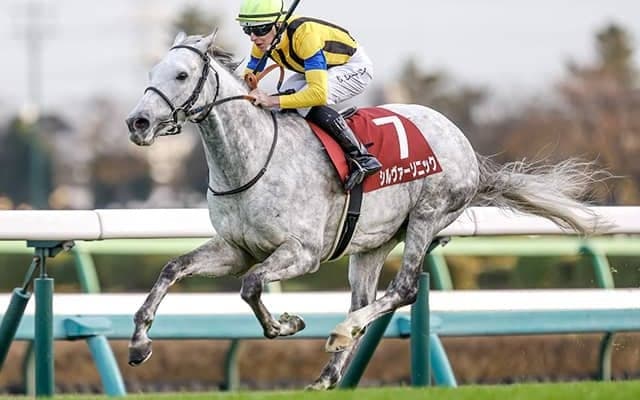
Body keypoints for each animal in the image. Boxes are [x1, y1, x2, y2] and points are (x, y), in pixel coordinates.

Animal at [125, 31, 605, 389]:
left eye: (182, 74)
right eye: (150, 73)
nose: (138, 122)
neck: (251, 158)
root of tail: (464, 144)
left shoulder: (302, 253)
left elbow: (252, 285)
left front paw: (286, 324)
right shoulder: (235, 249)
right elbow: (172, 269)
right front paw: (139, 344)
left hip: (427, 216)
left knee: (405, 289)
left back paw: (341, 332)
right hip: (371, 243)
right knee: (364, 298)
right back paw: (330, 369)